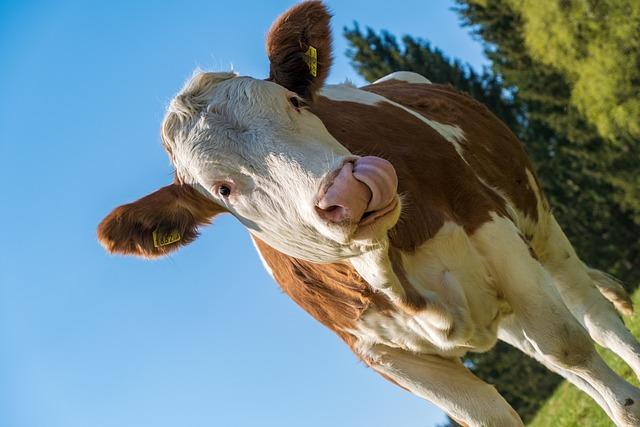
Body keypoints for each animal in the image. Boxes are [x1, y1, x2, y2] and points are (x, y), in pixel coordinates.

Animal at [97, 2, 640, 425]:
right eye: (222, 189)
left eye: (294, 102)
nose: (350, 190)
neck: (388, 269)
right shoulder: (381, 354)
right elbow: (491, 413)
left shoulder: (490, 227)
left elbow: (568, 346)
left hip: (536, 221)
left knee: (592, 314)